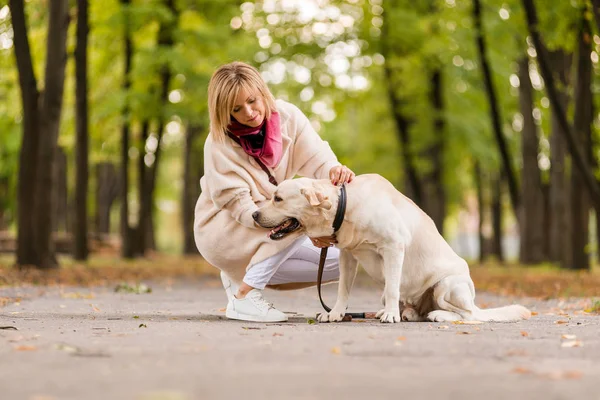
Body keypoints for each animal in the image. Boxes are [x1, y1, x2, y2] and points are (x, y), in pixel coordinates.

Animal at [252, 173, 528, 324]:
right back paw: (409, 313)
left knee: (468, 314)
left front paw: (391, 316)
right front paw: (336, 313)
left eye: (278, 198)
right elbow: (343, 290)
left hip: (448, 285)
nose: (254, 214)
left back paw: (433, 315)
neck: (346, 205)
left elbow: (394, 286)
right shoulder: (347, 255)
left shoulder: (394, 247)